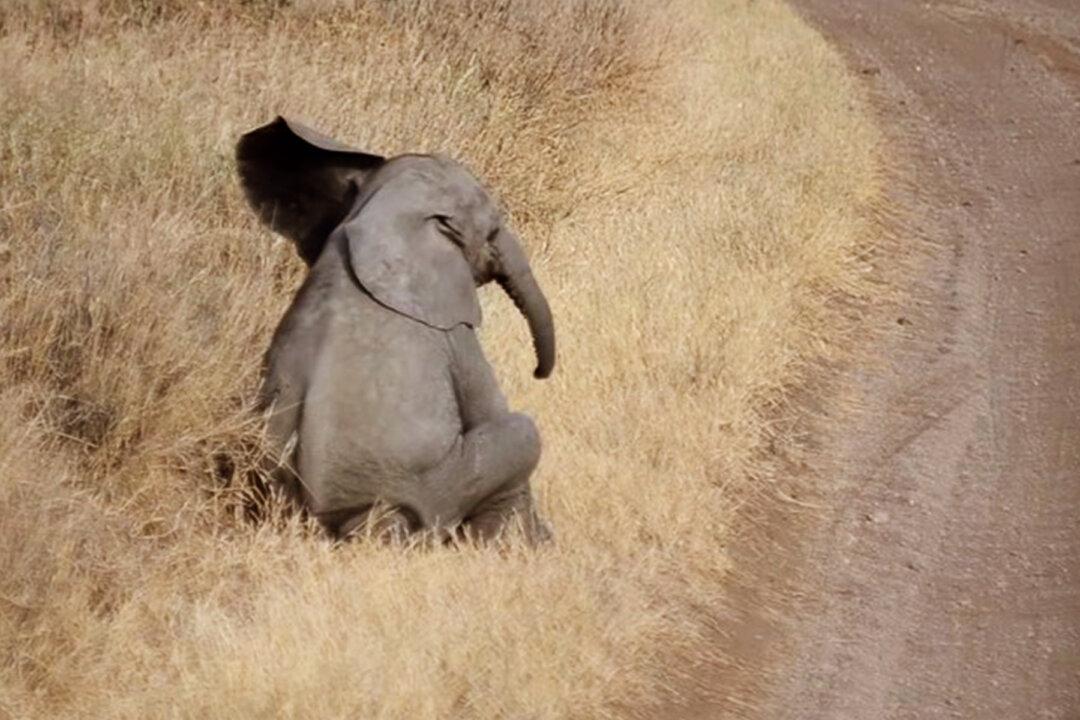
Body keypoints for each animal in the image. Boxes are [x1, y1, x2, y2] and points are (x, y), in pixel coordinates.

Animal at [236, 116, 555, 545]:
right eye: (492, 231)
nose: (538, 372)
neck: (384, 212)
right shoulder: (451, 329)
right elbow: (488, 407)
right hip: (432, 489)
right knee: (523, 435)